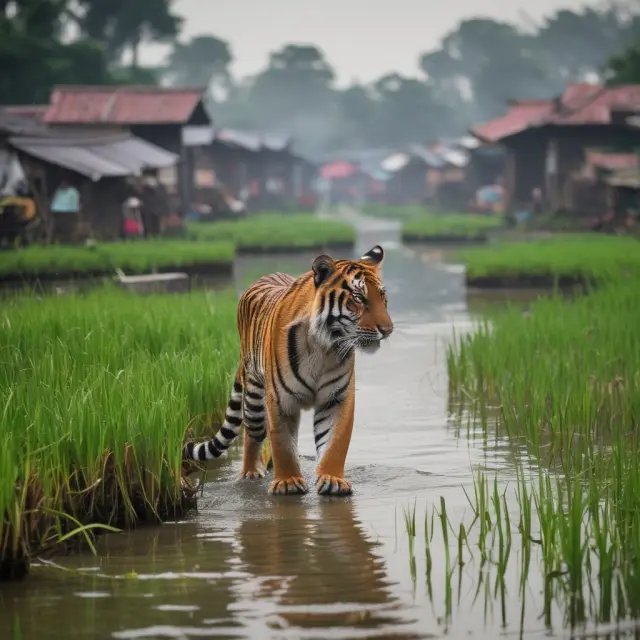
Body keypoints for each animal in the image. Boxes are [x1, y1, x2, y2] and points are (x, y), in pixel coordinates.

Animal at [183, 244, 393, 496]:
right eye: (359, 298)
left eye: (382, 297)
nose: (388, 330)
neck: (324, 346)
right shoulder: (279, 399)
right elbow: (282, 443)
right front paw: (288, 482)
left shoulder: (336, 398)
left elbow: (335, 442)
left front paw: (332, 479)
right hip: (254, 399)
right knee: (252, 436)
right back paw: (251, 472)